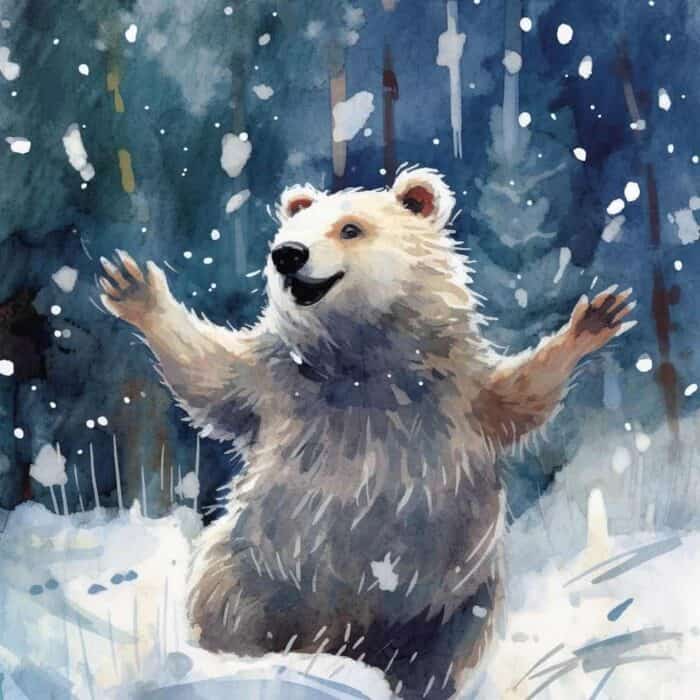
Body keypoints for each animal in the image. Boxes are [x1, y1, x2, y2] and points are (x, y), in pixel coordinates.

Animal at [98, 167, 635, 699]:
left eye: (350, 228)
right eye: (293, 229)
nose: (287, 255)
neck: (361, 364)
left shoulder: (457, 390)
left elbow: (520, 394)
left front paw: (593, 319)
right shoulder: (277, 384)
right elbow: (210, 374)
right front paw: (135, 290)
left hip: (454, 602)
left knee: (442, 657)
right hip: (253, 571)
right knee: (229, 611)